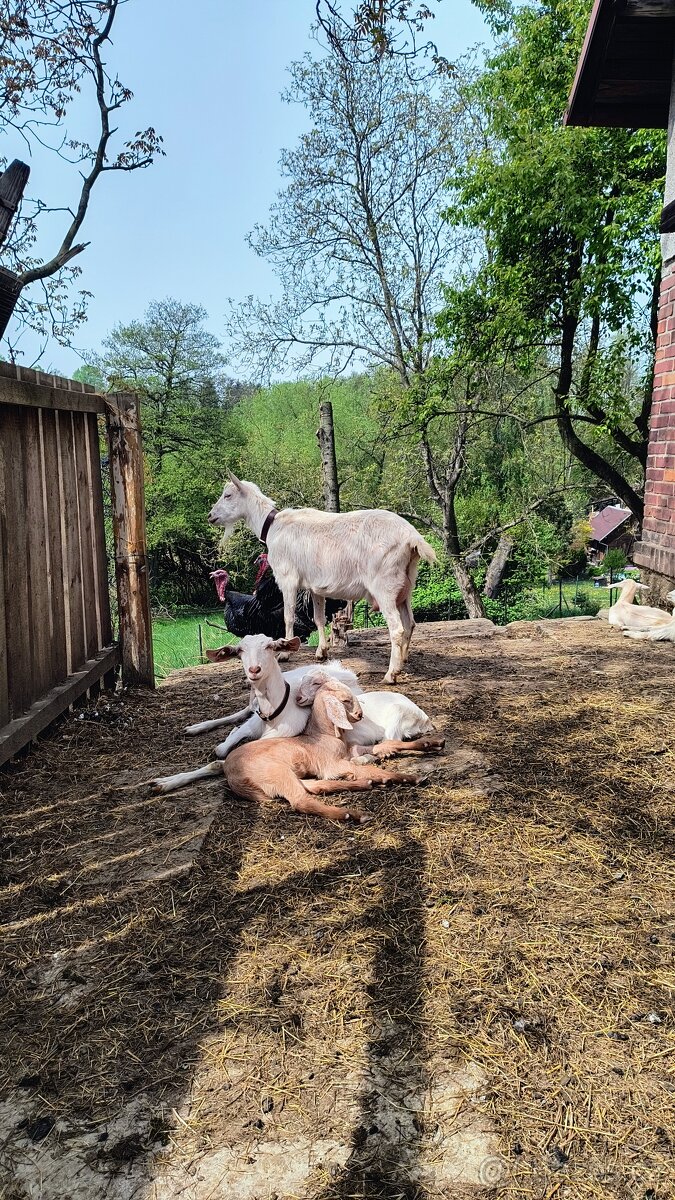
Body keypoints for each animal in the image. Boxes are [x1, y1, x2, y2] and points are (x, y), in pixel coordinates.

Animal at [207, 473, 437, 683]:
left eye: (228, 495)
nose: (210, 516)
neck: (273, 526)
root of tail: (412, 537)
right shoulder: (314, 587)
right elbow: (318, 618)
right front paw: (321, 652)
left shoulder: (288, 579)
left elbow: (288, 616)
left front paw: (284, 653)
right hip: (406, 585)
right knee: (410, 623)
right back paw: (403, 661)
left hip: (385, 586)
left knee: (397, 628)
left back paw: (391, 674)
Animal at [220, 677, 424, 823]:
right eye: (346, 700)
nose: (360, 715)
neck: (325, 734)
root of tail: (231, 775)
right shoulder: (332, 764)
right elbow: (368, 767)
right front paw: (410, 777)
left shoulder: (348, 752)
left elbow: (386, 745)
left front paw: (428, 744)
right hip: (274, 771)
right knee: (301, 800)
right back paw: (352, 814)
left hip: (283, 775)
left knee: (315, 787)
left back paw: (364, 784)